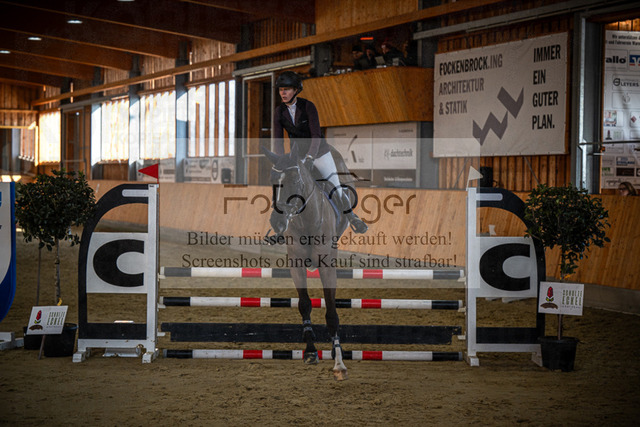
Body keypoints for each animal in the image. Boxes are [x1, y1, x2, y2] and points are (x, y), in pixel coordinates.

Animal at [263, 145, 357, 381]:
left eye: (296, 181)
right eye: (272, 180)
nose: (277, 222)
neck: (306, 219)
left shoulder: (327, 265)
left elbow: (331, 312)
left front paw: (339, 363)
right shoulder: (295, 263)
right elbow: (305, 304)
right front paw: (311, 352)